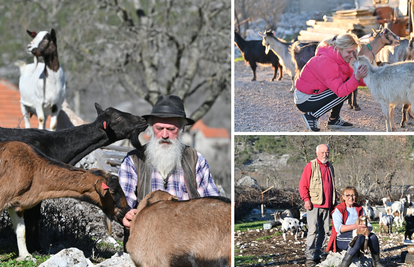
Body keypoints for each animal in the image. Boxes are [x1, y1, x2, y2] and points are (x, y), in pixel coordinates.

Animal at [0, 142, 128, 262]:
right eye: (113, 191)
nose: (125, 210)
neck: (33, 169)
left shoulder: (17, 204)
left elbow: (21, 230)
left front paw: (25, 256)